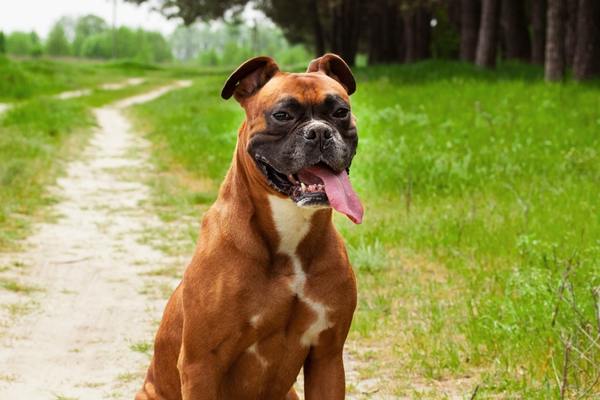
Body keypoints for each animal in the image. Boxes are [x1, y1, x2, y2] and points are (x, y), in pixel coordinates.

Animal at [135, 54, 360, 400]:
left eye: (340, 112)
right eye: (282, 115)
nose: (320, 132)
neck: (290, 236)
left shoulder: (328, 357)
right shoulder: (200, 364)